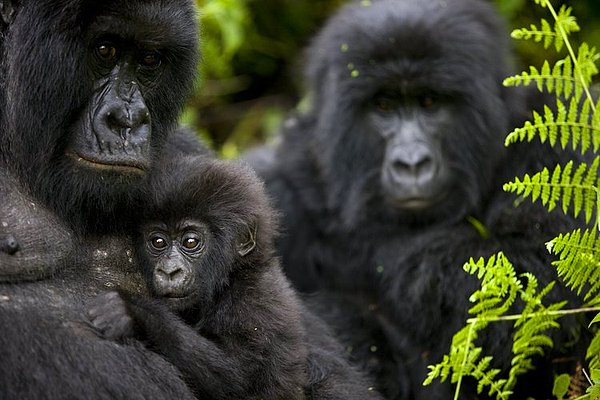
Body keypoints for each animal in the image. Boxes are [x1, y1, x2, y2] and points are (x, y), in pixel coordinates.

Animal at [87, 157, 382, 400]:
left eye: (190, 241)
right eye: (158, 241)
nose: (169, 271)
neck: (234, 275)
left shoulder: (252, 301)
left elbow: (240, 379)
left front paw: (135, 312)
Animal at [248, 0, 584, 400]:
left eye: (429, 103)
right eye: (383, 106)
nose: (411, 163)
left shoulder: (554, 145)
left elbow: (537, 272)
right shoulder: (278, 181)